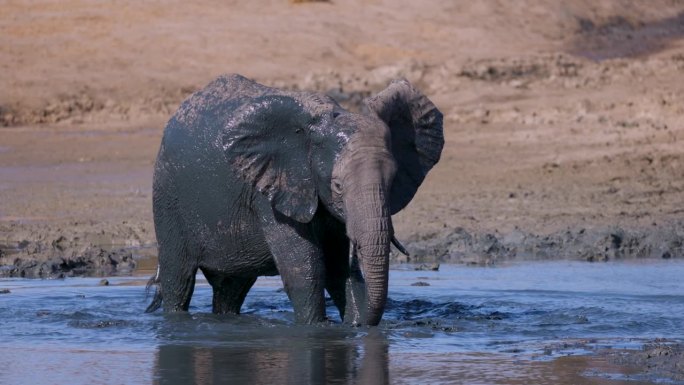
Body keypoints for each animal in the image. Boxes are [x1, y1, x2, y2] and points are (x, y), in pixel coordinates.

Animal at [146, 74, 444, 324]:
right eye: (337, 186)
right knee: (179, 279)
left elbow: (336, 269)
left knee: (232, 288)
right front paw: (317, 329)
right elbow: (305, 270)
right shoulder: (272, 192)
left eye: (392, 182)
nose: (358, 325)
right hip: (167, 198)